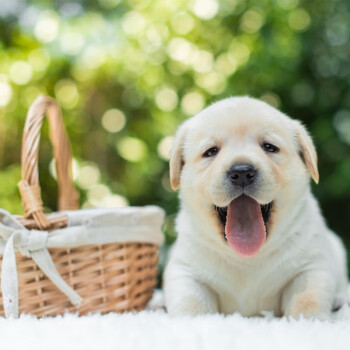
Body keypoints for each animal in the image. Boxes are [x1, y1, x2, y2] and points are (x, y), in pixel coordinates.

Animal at [163, 96, 348, 320]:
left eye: (269, 147)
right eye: (211, 151)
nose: (242, 172)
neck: (247, 259)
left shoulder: (312, 266)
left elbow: (306, 301)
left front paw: (308, 321)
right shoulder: (185, 271)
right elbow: (191, 304)